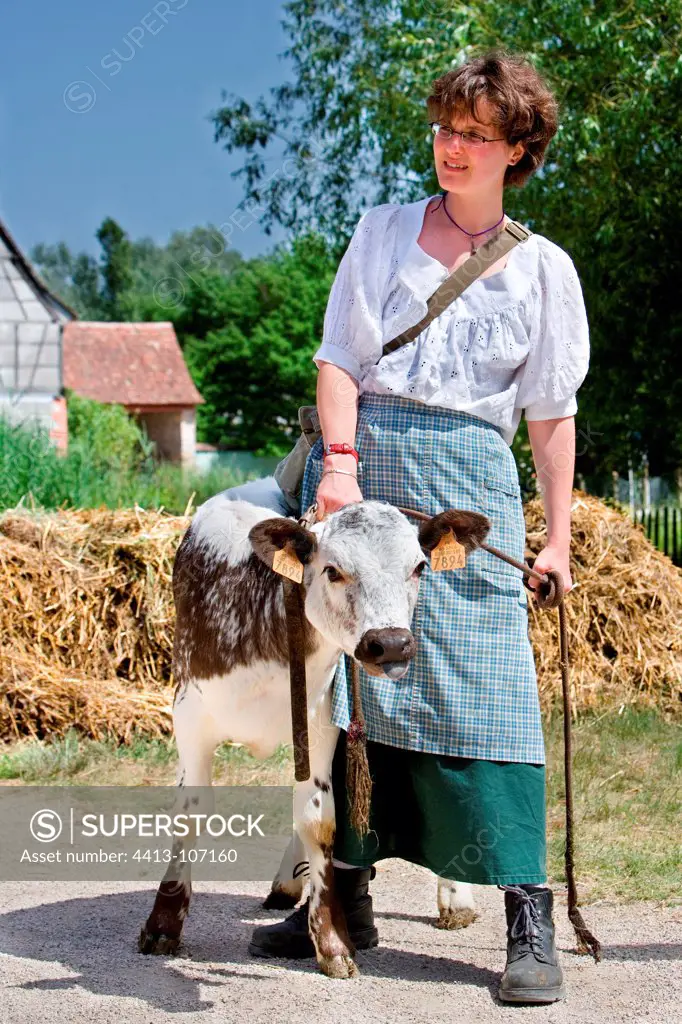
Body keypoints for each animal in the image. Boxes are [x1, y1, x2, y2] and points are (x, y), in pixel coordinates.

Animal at [138, 491, 483, 978]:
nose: (391, 644)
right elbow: (189, 815)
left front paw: (332, 941)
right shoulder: (189, 714)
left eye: (418, 568)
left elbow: (318, 820)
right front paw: (163, 922)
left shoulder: (320, 721)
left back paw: (455, 898)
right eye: (333, 570)